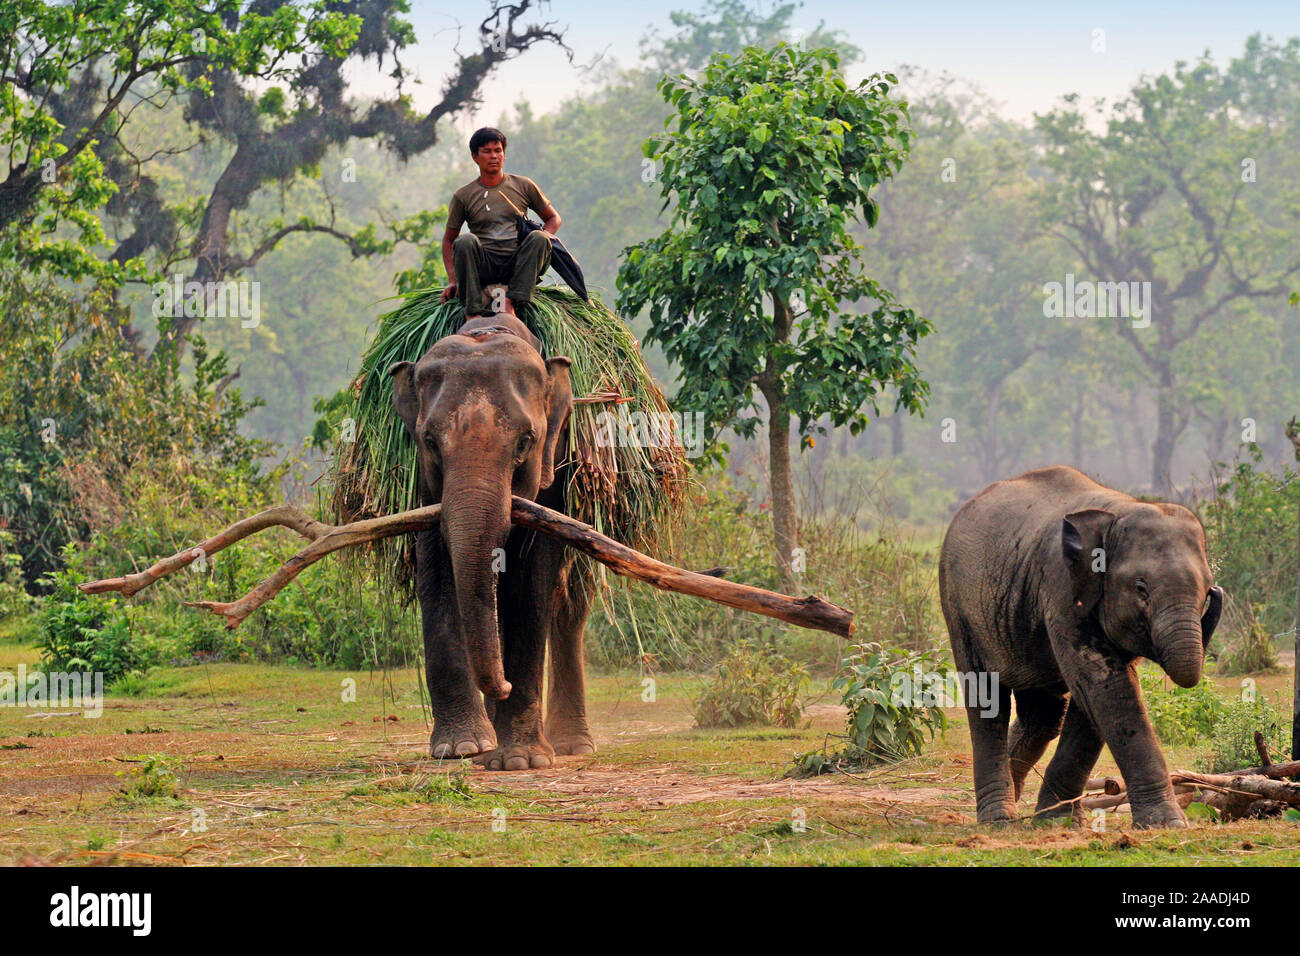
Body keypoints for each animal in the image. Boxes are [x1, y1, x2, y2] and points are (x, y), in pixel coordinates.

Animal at [382, 314, 592, 770]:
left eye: (526, 441)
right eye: (429, 441)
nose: (503, 686)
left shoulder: (552, 473)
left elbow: (532, 582)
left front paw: (520, 760)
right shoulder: (426, 487)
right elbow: (437, 571)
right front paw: (462, 748)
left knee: (570, 605)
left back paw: (572, 745)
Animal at [935, 468, 1216, 827]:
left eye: (1208, 589)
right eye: (1141, 588)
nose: (1218, 594)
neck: (1117, 510)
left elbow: (1096, 697)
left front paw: (1059, 820)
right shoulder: (1061, 588)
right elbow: (1103, 685)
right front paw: (1167, 823)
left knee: (1043, 716)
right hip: (959, 607)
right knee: (987, 701)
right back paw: (999, 819)